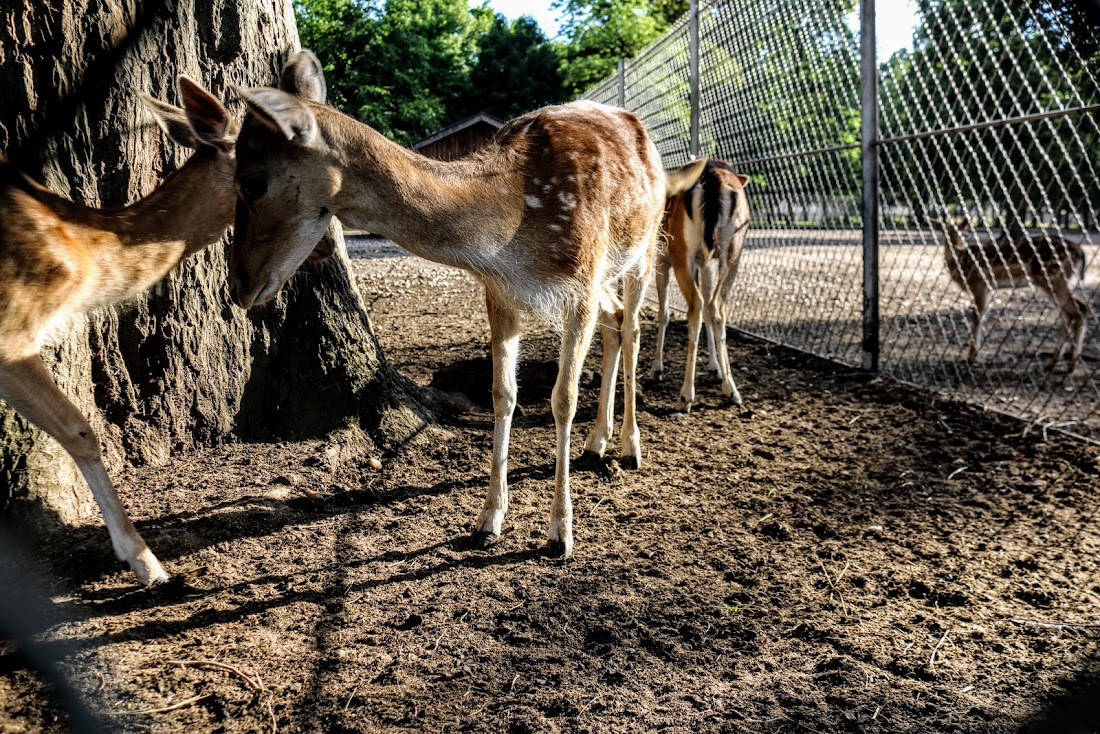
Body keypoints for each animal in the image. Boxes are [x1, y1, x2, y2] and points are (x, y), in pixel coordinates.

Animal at [228, 51, 708, 556]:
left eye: (252, 182)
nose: (238, 285)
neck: (509, 237)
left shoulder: (579, 283)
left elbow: (563, 398)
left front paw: (560, 534)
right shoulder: (500, 293)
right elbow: (503, 394)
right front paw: (487, 521)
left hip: (642, 246)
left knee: (632, 326)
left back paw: (630, 447)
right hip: (605, 278)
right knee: (613, 321)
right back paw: (597, 442)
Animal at [646, 158, 752, 413]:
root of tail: (712, 175)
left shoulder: (662, 258)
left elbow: (664, 313)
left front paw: (656, 369)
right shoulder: (705, 263)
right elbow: (708, 311)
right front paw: (715, 368)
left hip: (680, 251)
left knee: (695, 306)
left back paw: (685, 396)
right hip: (734, 250)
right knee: (716, 306)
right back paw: (731, 390)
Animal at [932, 216, 1086, 367]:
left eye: (965, 234)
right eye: (946, 233)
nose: (958, 245)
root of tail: (1080, 251)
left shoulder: (979, 283)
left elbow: (977, 316)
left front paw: (971, 357)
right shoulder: (989, 288)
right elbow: (983, 315)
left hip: (1053, 277)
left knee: (1079, 309)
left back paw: (1071, 363)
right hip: (1059, 280)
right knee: (1070, 312)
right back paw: (1054, 362)